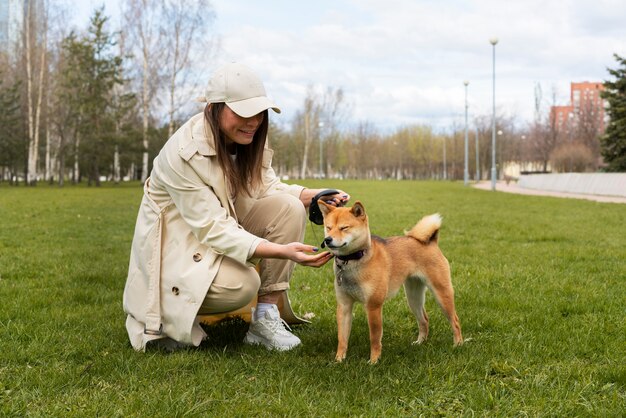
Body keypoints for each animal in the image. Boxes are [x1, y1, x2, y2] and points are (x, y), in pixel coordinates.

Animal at [320, 201, 460, 364]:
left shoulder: (373, 306)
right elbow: (342, 338)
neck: (353, 261)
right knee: (424, 319)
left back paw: (458, 344)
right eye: (328, 227)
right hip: (413, 297)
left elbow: (374, 338)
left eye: (344, 228)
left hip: (441, 293)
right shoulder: (344, 306)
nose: (327, 239)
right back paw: (420, 342)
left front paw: (374, 361)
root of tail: (431, 241)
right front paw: (339, 360)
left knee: (455, 320)